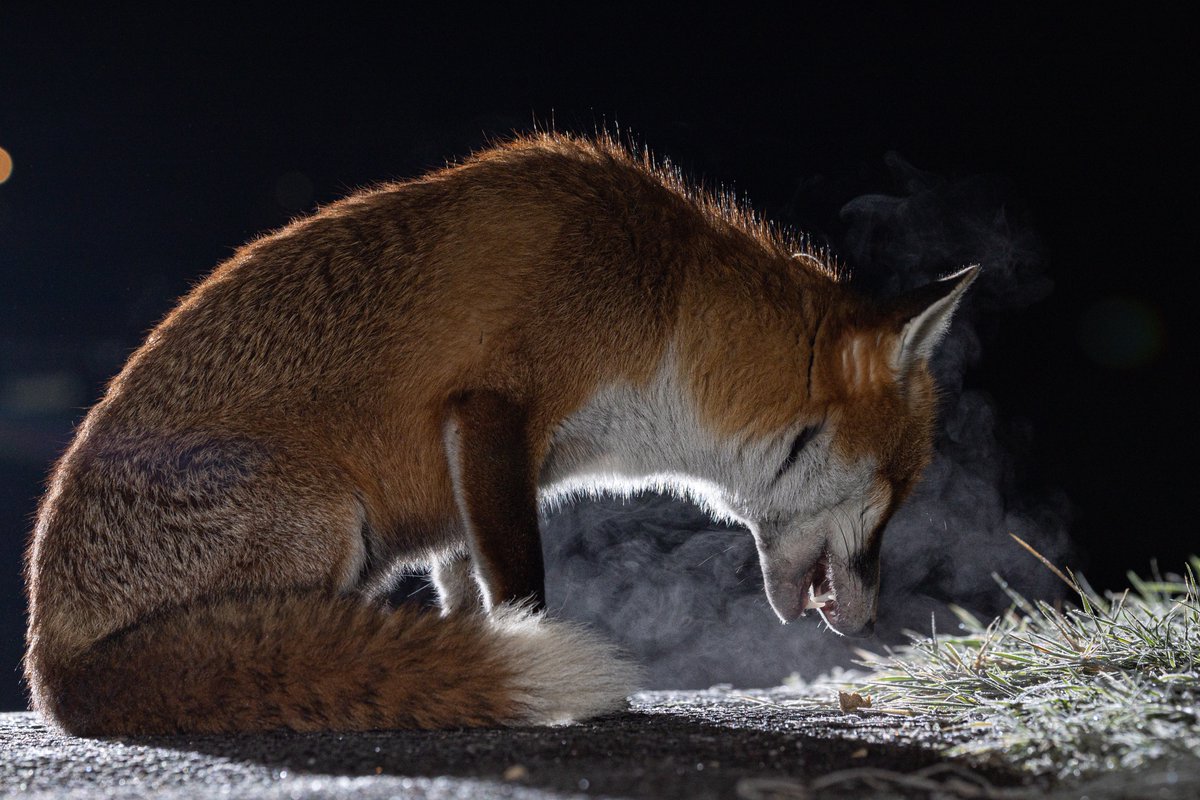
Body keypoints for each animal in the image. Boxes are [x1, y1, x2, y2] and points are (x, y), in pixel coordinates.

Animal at [24, 133, 976, 736]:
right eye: (897, 490)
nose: (871, 620)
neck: (665, 308)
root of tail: (50, 670)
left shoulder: (463, 487)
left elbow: (468, 599)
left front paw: (478, 665)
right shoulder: (490, 411)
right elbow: (521, 585)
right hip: (324, 516)